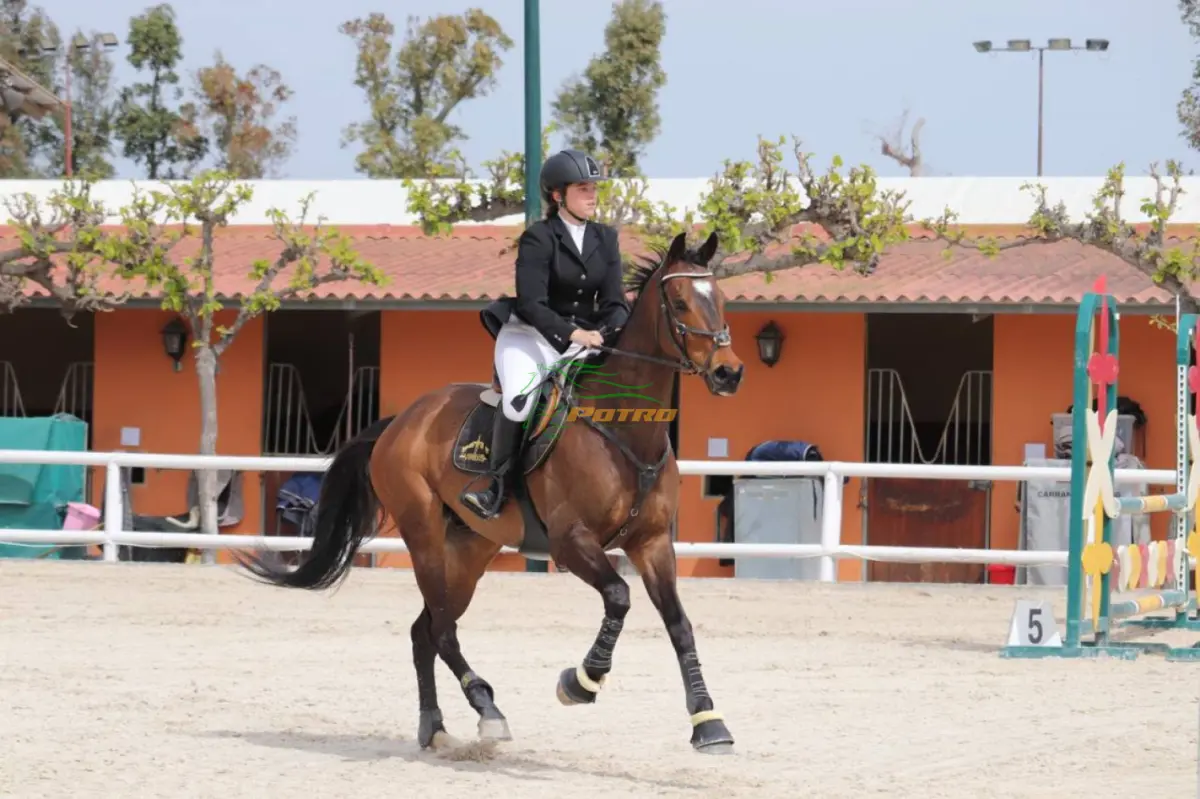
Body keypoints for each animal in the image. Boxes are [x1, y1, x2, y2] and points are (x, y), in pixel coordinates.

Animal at [238, 229, 746, 755]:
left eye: (721, 299)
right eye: (680, 302)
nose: (729, 373)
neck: (623, 432)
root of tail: (401, 421)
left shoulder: (652, 543)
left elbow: (679, 624)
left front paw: (709, 722)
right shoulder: (570, 540)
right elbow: (619, 596)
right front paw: (581, 682)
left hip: (470, 549)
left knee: (426, 630)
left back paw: (435, 727)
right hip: (424, 536)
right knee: (442, 630)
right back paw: (488, 710)